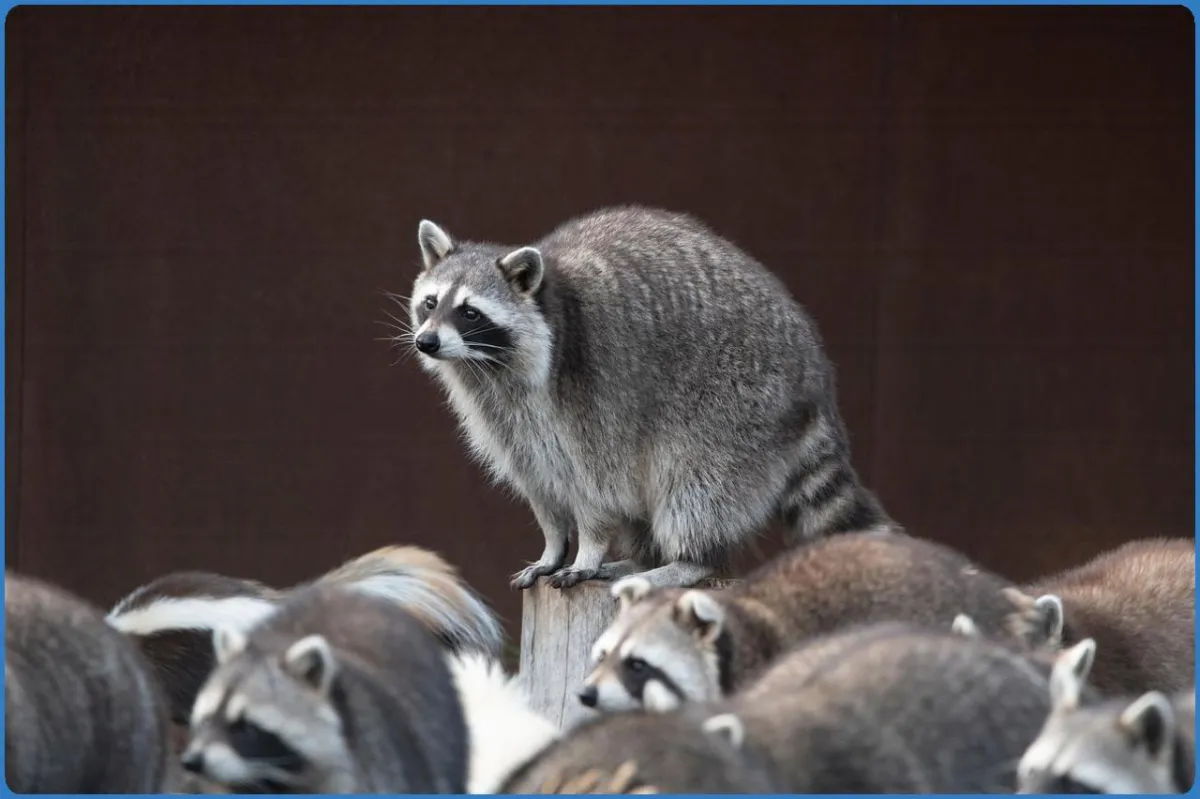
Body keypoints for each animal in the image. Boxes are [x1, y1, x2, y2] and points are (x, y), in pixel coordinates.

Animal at [402, 206, 893, 591]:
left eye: (469, 312)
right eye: (430, 303)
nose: (427, 342)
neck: (491, 366)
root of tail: (814, 375)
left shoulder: (590, 395)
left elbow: (597, 490)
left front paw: (588, 550)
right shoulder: (506, 418)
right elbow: (541, 486)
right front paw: (553, 547)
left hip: (738, 405)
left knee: (696, 485)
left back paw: (688, 561)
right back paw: (640, 558)